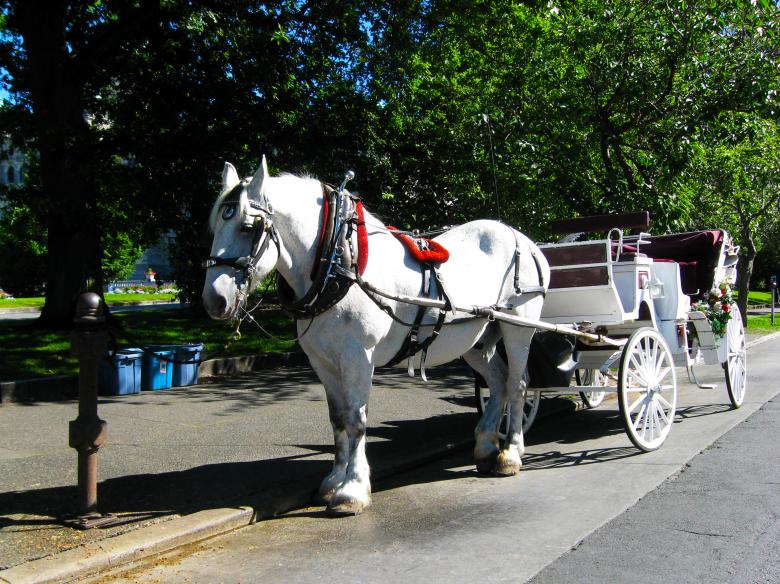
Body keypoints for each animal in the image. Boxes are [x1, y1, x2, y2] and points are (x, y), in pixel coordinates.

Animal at [202, 157, 550, 515]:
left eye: (247, 227)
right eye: (216, 227)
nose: (215, 301)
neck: (340, 261)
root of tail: (522, 239)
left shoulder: (358, 357)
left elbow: (356, 419)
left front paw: (352, 490)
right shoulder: (323, 362)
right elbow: (338, 419)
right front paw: (333, 481)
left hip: (518, 326)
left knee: (517, 384)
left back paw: (511, 454)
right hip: (476, 339)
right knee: (497, 381)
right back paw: (486, 447)